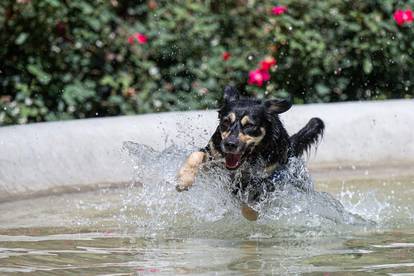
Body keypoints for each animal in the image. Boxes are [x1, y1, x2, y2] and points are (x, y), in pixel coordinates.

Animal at [175, 86, 324, 220]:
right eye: (225, 122)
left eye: (249, 125)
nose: (229, 144)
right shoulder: (213, 153)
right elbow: (196, 155)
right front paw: (185, 179)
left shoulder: (269, 176)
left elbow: (256, 194)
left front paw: (250, 212)